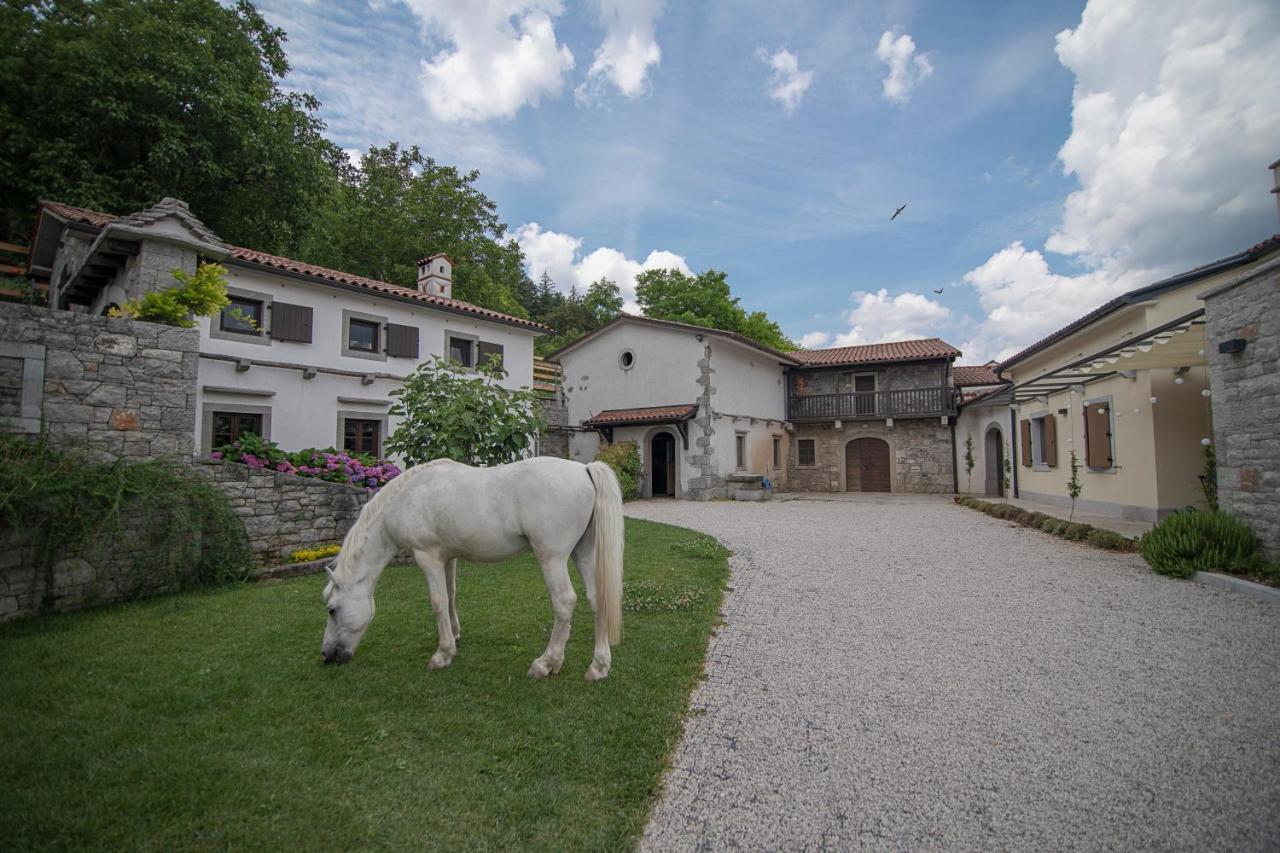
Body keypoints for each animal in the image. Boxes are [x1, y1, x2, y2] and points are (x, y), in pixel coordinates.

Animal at [318, 455, 619, 681]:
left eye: (332, 610)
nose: (327, 655)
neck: (407, 498)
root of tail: (584, 469)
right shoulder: (447, 557)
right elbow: (451, 595)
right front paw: (454, 635)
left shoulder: (426, 556)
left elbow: (438, 601)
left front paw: (443, 654)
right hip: (583, 553)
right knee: (597, 600)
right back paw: (598, 667)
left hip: (552, 558)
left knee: (564, 602)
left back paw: (546, 663)